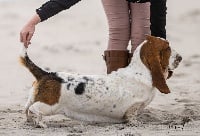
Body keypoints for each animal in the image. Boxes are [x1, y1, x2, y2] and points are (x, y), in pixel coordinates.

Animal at [19, 35, 181, 127]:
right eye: (167, 47)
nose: (180, 58)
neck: (140, 71)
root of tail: (46, 73)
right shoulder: (133, 107)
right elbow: (132, 116)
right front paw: (137, 123)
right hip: (49, 106)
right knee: (34, 109)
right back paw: (40, 123)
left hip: (34, 98)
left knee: (26, 107)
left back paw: (29, 121)